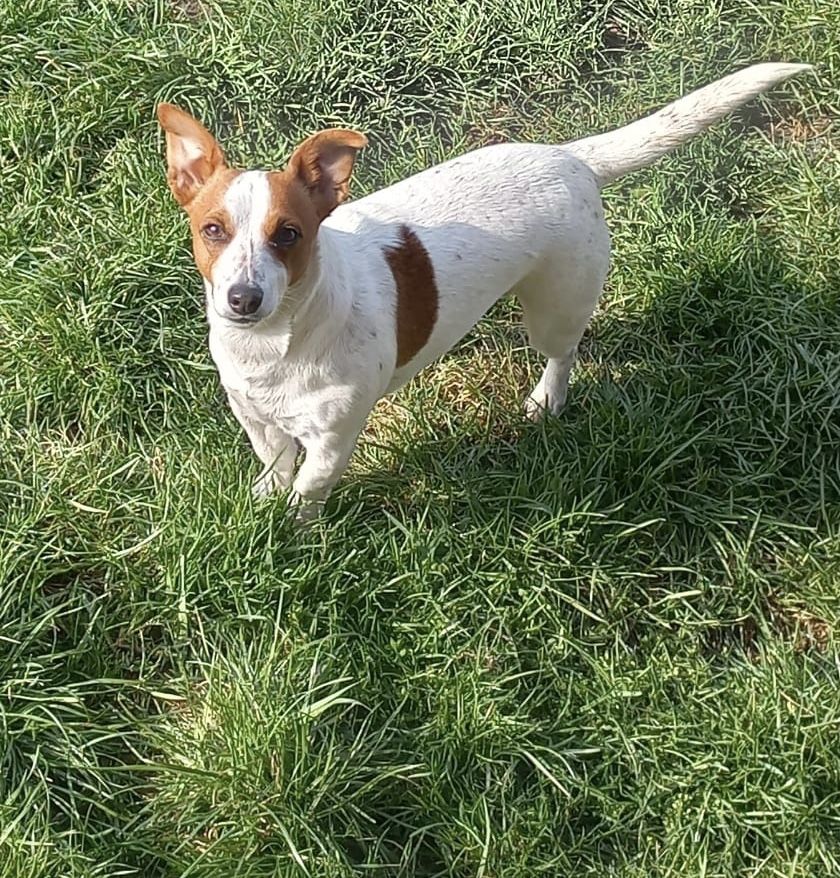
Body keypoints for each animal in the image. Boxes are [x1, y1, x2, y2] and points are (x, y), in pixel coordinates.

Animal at [156, 65, 808, 524]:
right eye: (212, 230)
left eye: (288, 235)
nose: (242, 299)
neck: (275, 345)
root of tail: (569, 156)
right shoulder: (253, 413)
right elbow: (273, 462)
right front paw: (265, 502)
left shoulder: (334, 440)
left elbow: (308, 487)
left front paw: (294, 530)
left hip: (555, 305)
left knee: (563, 353)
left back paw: (547, 399)